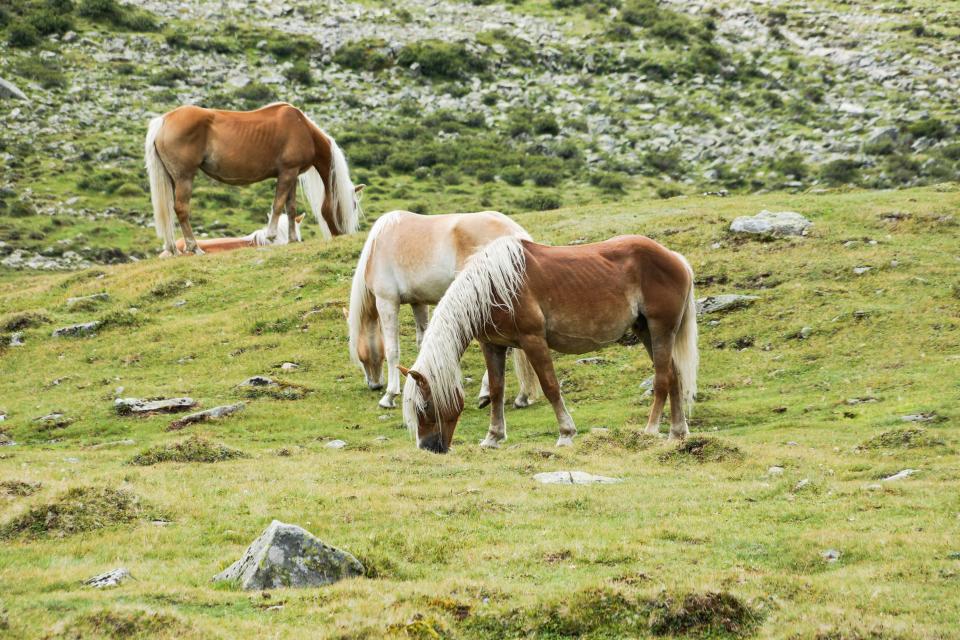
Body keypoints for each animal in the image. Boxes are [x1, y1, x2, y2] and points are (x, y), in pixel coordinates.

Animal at [348, 210, 541, 409]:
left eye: (359, 355)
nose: (374, 385)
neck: (378, 244)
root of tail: (516, 234)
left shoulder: (387, 301)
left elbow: (392, 349)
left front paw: (389, 396)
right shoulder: (418, 302)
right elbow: (422, 342)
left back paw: (487, 393)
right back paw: (520, 397)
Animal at [399, 235, 698, 454]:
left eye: (425, 407)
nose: (428, 448)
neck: (493, 286)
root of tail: (676, 259)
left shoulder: (533, 341)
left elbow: (550, 386)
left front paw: (566, 434)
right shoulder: (492, 345)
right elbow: (496, 391)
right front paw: (493, 437)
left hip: (660, 330)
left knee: (662, 379)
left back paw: (650, 430)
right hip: (646, 330)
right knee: (673, 376)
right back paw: (677, 433)